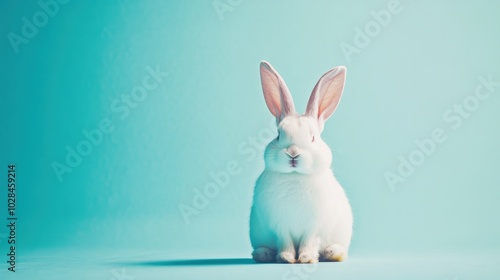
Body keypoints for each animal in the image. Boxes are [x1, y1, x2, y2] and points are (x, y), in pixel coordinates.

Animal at [249, 60, 352, 264]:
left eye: (313, 138)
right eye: (278, 135)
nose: (293, 154)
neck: (296, 177)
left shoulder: (314, 226)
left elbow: (309, 241)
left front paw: (306, 258)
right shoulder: (280, 225)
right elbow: (285, 242)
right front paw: (287, 258)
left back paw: (333, 252)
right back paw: (263, 254)